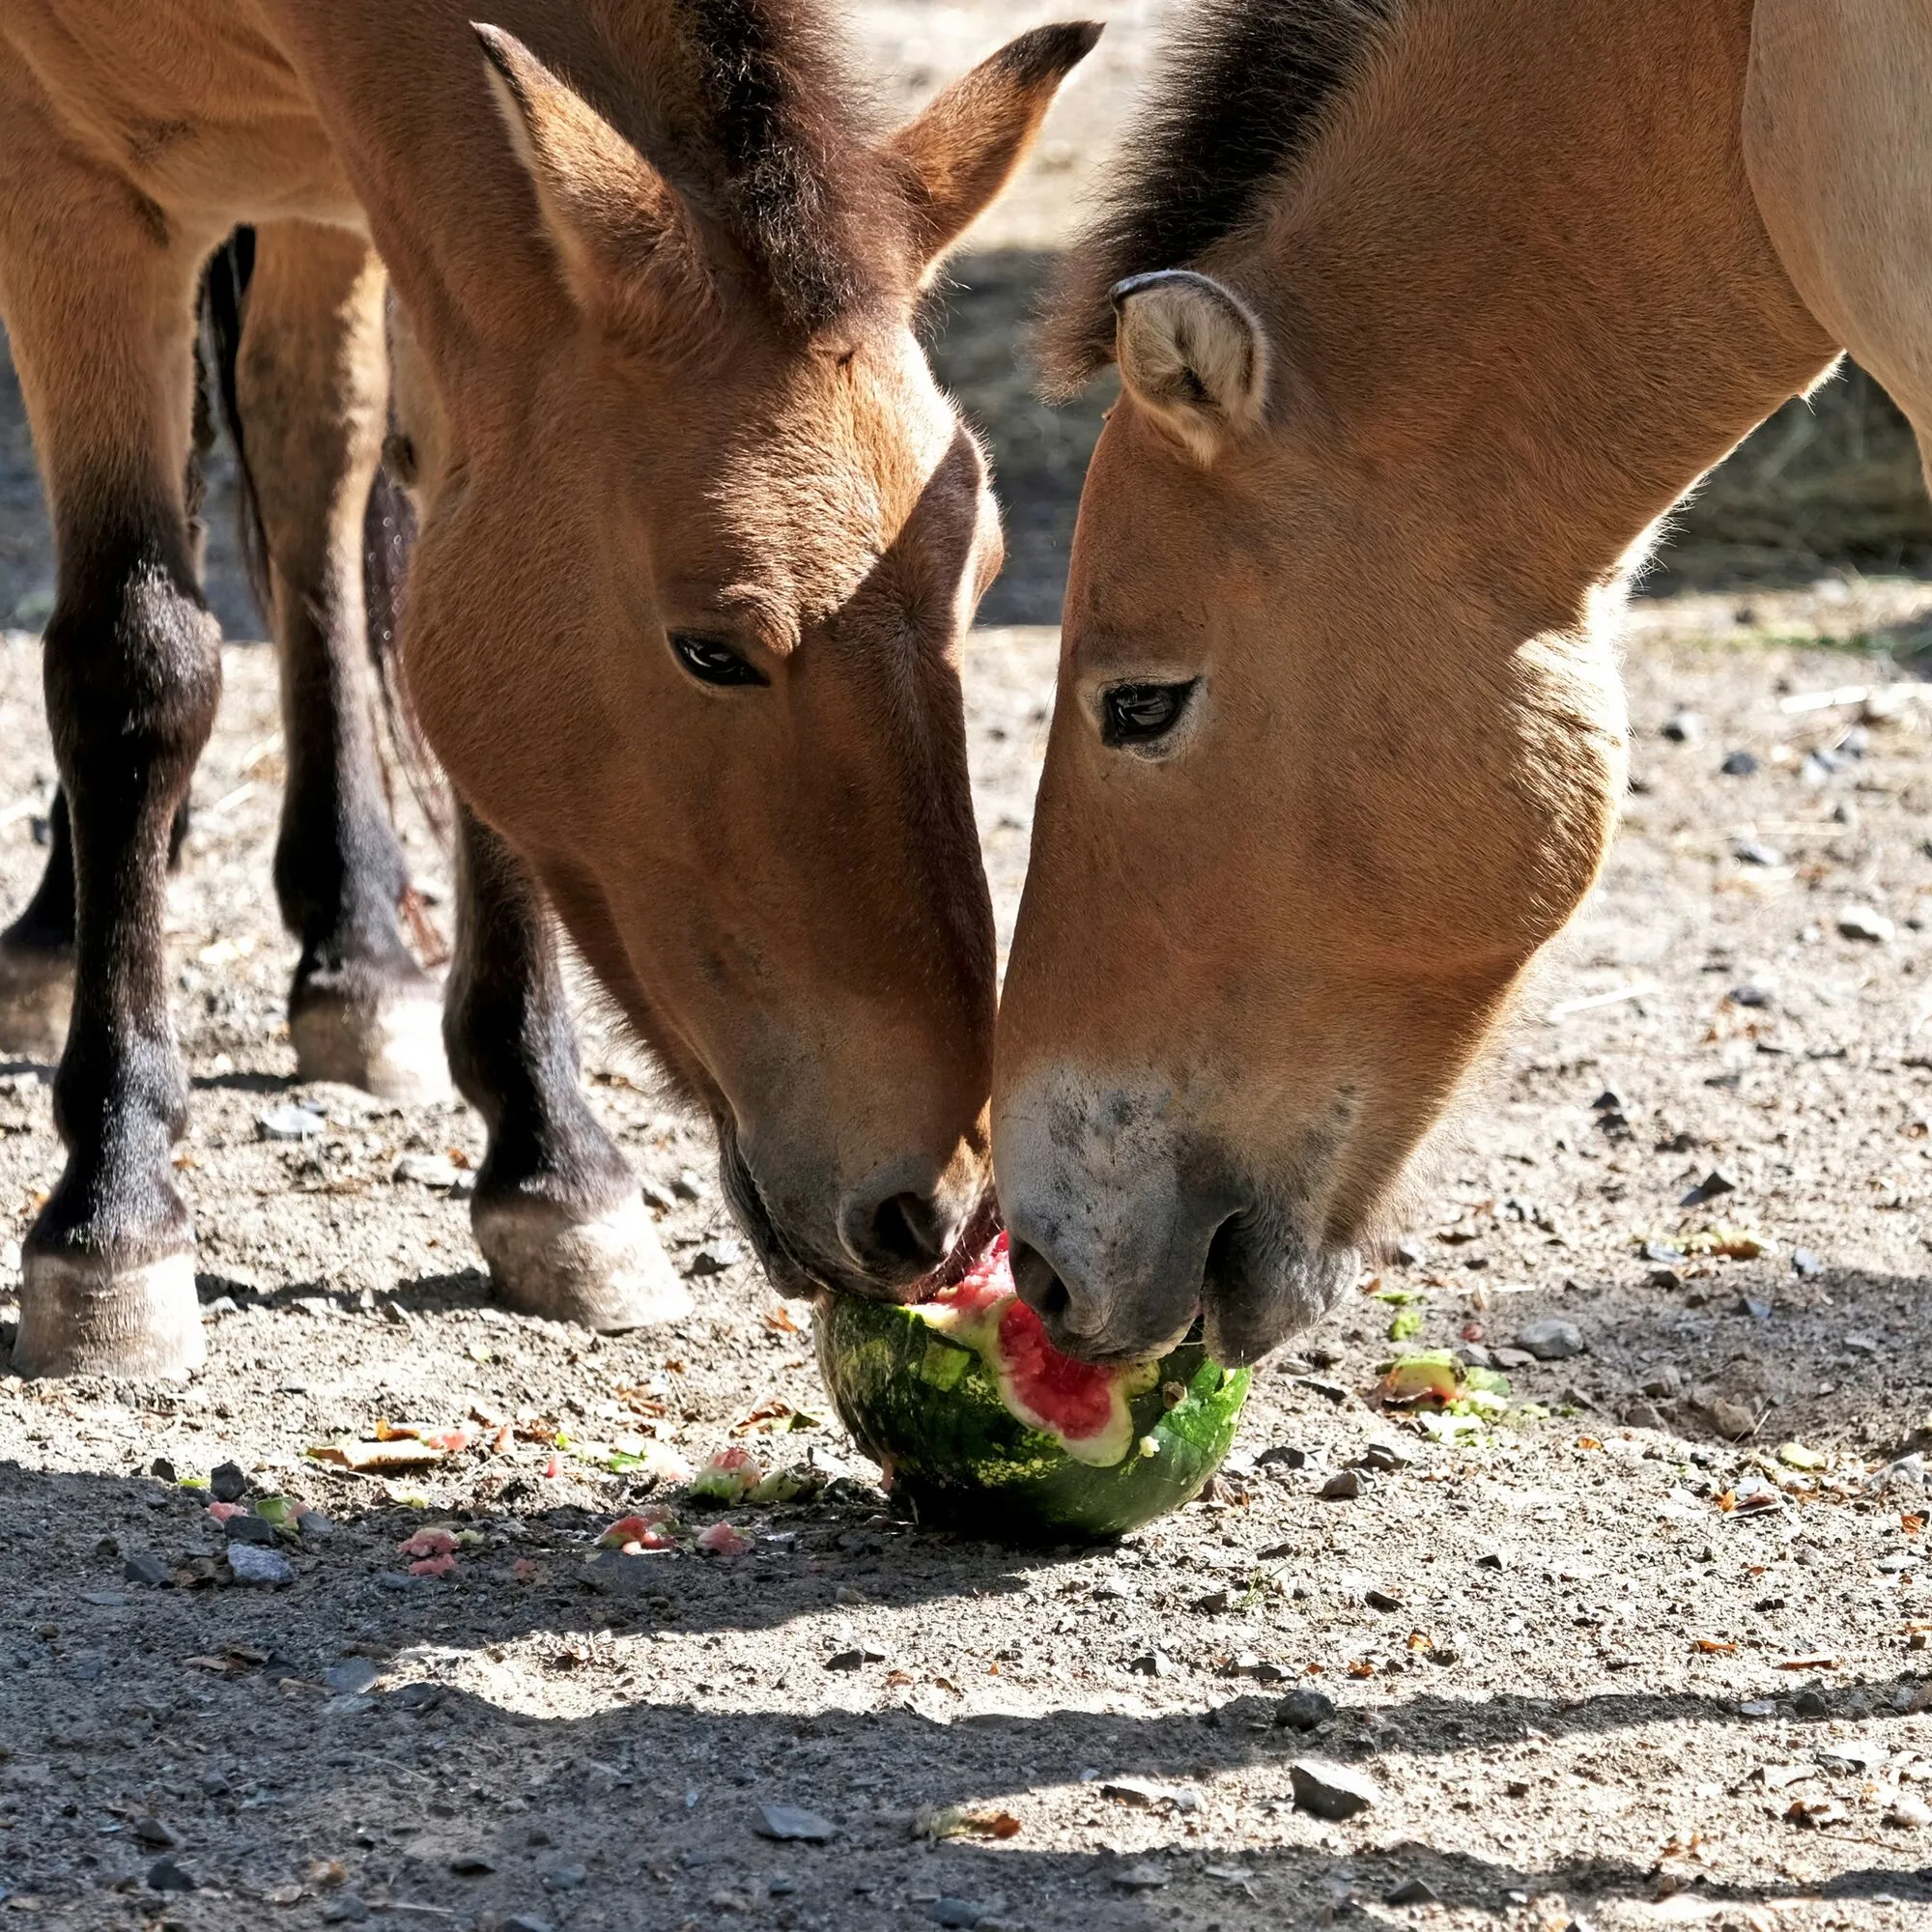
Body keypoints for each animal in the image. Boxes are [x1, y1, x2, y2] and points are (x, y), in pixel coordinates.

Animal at [0, 7, 1090, 1383]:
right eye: (710, 650)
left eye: (985, 577)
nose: (938, 1209)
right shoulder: (69, 187)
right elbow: (135, 664)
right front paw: (113, 1213)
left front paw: (552, 1160)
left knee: (310, 457)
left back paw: (356, 951)